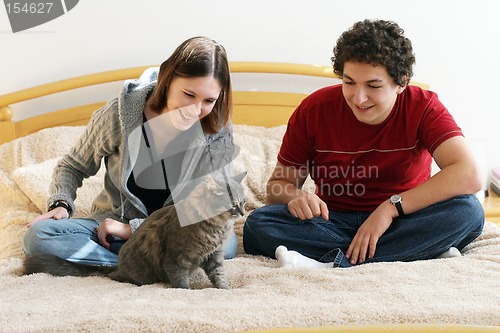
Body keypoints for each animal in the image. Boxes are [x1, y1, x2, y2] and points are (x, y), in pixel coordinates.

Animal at [23, 171, 246, 288]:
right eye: (233, 205)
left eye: (243, 202)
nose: (243, 213)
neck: (215, 229)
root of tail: (119, 265)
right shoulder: (176, 258)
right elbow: (181, 282)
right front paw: (187, 292)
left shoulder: (214, 256)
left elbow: (219, 276)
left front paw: (225, 290)